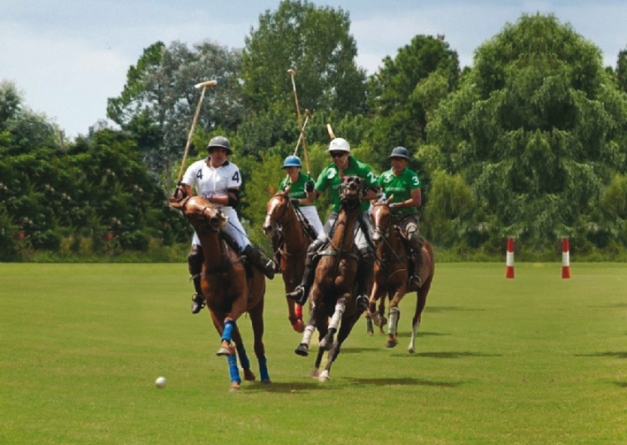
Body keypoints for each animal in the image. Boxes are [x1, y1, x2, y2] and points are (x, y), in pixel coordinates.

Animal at [169, 194, 270, 388]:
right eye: (189, 212)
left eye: (206, 201)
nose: (217, 217)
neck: (219, 265)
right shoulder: (215, 309)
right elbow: (230, 342)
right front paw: (234, 377)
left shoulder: (240, 299)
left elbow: (231, 324)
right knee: (238, 339)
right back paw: (247, 372)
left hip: (257, 305)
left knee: (258, 342)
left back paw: (265, 376)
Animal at [262, 189, 316, 332]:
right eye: (268, 204)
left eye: (281, 206)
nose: (267, 227)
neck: (295, 248)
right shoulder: (287, 281)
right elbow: (292, 314)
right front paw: (299, 324)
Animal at [296, 175, 366, 380]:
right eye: (346, 180)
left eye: (360, 181)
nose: (352, 185)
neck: (340, 250)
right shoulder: (317, 292)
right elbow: (311, 319)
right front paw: (303, 345)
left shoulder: (345, 295)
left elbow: (336, 321)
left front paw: (328, 341)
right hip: (323, 312)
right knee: (321, 334)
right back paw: (315, 369)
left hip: (352, 318)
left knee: (337, 343)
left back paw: (325, 372)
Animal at [370, 199, 434, 352]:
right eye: (371, 215)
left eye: (387, 215)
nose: (376, 239)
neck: (387, 256)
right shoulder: (380, 284)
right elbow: (371, 303)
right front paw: (380, 320)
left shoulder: (402, 286)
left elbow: (393, 307)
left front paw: (390, 339)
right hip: (391, 290)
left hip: (424, 289)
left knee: (416, 318)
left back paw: (411, 346)